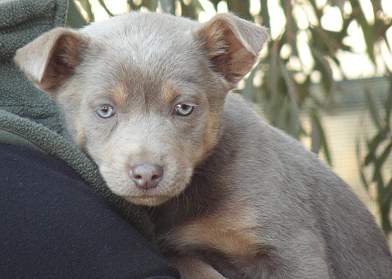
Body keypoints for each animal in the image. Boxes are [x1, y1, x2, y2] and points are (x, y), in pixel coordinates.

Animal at [15, 11, 392, 279]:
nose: (146, 174)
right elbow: (193, 265)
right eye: (105, 110)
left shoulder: (293, 246)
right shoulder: (176, 247)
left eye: (184, 108)